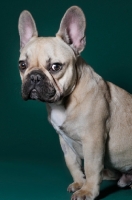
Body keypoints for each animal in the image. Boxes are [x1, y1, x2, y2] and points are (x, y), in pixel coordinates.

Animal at [17, 5, 132, 199]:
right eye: (22, 65)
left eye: (55, 67)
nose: (34, 77)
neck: (64, 102)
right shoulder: (65, 142)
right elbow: (73, 164)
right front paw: (79, 183)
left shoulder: (93, 140)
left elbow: (91, 167)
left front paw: (88, 191)